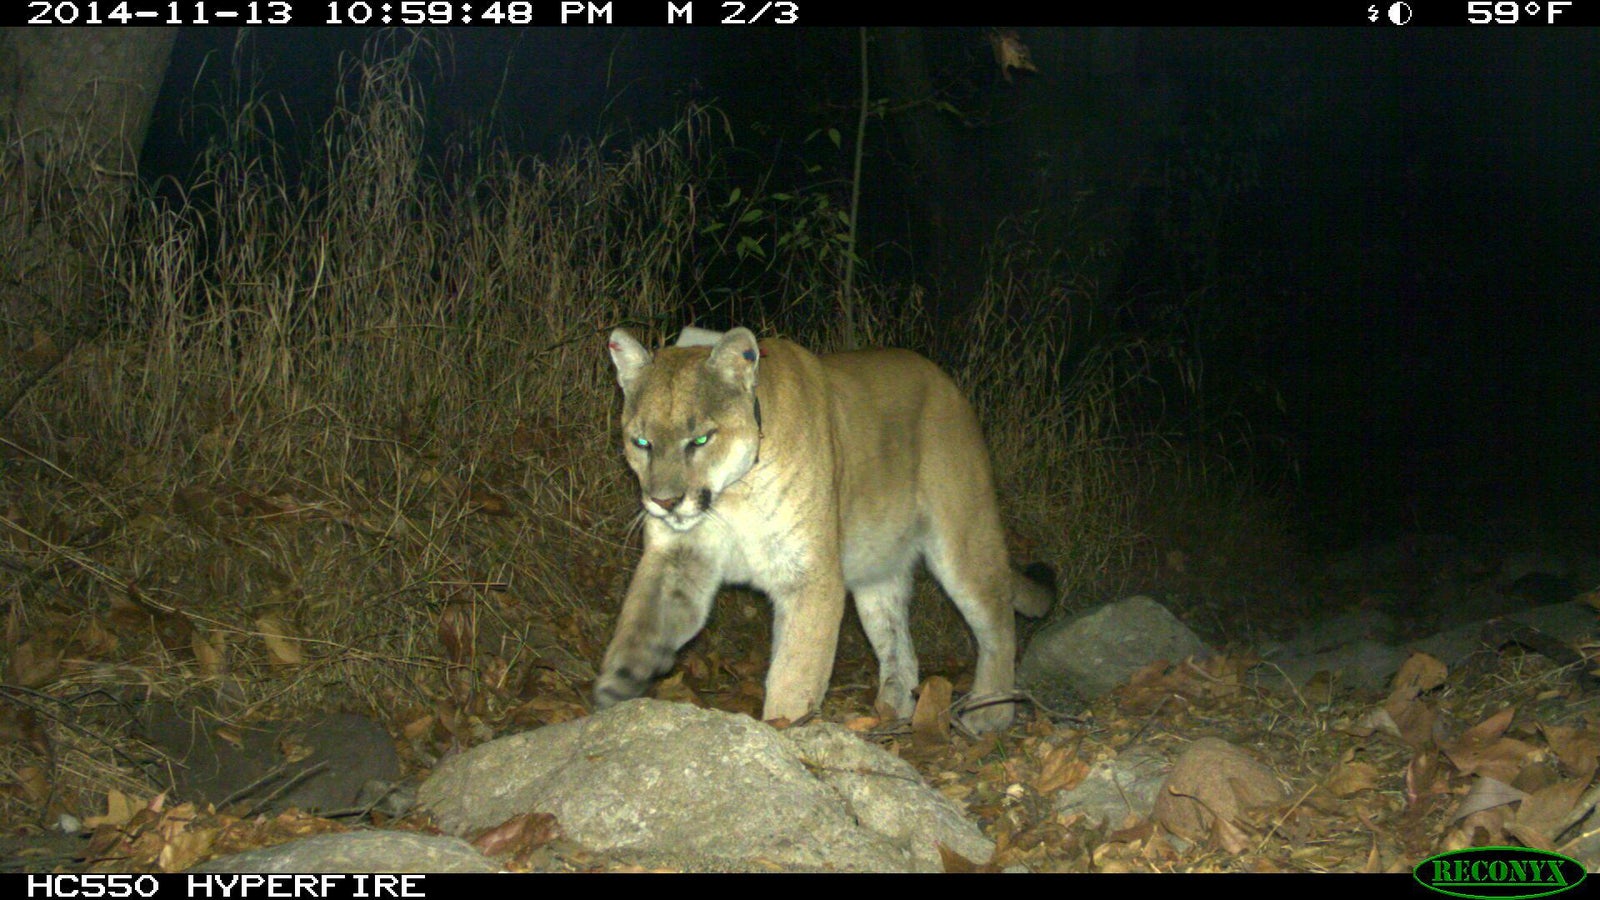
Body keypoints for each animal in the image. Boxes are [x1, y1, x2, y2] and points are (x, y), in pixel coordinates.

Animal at [595, 325, 1056, 733]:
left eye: (701, 439)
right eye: (641, 442)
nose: (664, 501)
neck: (732, 497)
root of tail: (948, 385)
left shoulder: (809, 576)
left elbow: (795, 673)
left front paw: (782, 736)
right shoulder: (679, 556)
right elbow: (643, 616)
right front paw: (619, 678)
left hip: (962, 537)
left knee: (997, 620)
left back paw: (990, 712)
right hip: (876, 573)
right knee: (899, 648)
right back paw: (888, 716)